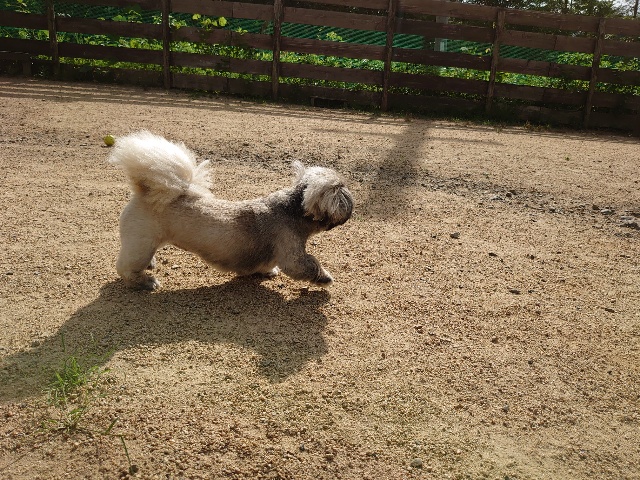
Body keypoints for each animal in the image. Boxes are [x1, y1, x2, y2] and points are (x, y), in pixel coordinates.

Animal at [108, 131, 353, 290]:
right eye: (340, 189)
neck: (292, 210)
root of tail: (146, 191)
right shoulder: (293, 255)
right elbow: (309, 265)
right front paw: (325, 278)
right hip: (140, 246)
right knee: (125, 269)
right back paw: (144, 282)